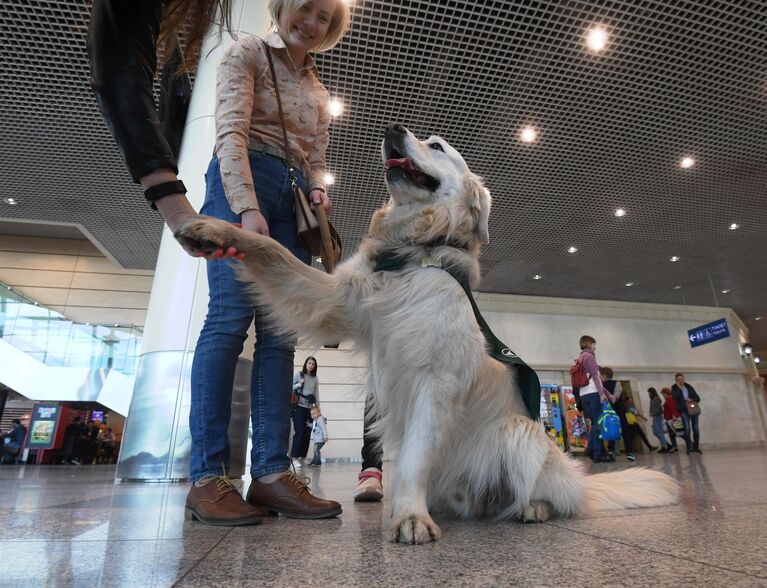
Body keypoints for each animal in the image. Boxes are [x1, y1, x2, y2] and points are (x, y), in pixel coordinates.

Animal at [178, 124, 680, 548]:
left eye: (436, 146)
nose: (392, 128)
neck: (414, 252)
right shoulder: (334, 297)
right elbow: (271, 249)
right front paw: (212, 230)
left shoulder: (435, 380)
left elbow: (417, 454)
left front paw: (410, 518)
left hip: (521, 432)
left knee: (556, 497)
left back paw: (532, 508)